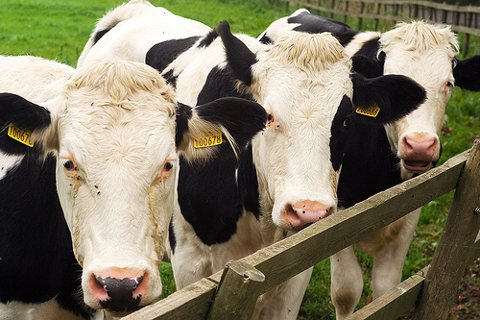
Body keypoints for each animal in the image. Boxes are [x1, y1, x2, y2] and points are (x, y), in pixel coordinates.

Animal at [258, 8, 480, 318]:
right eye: (393, 80)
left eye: (449, 83)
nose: (420, 145)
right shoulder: (338, 210)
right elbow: (347, 290)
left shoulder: (412, 207)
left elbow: (387, 291)